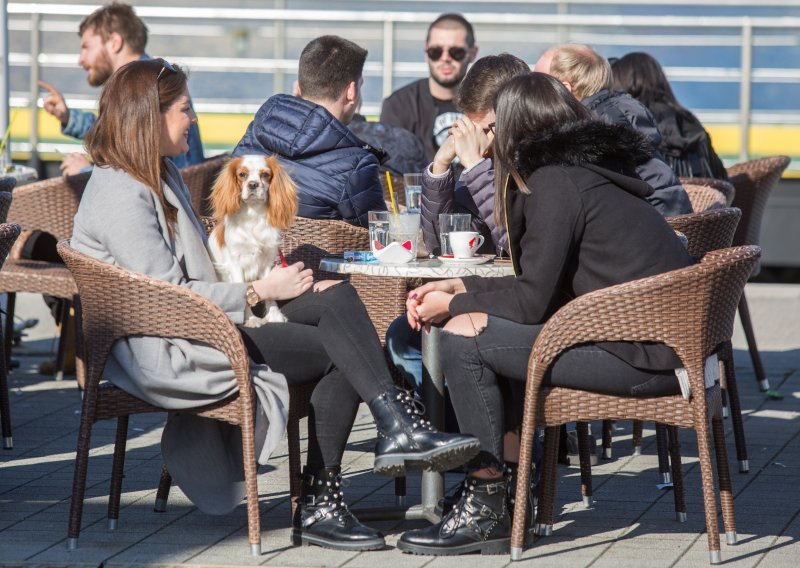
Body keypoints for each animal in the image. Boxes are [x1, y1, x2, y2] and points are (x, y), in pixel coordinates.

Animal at [208, 153, 298, 326]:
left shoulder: (266, 263)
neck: (253, 214)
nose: (253, 185)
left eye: (265, 175)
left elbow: (271, 290)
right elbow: (243, 293)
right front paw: (250, 319)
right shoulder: (235, 264)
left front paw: (274, 316)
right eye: (242, 174)